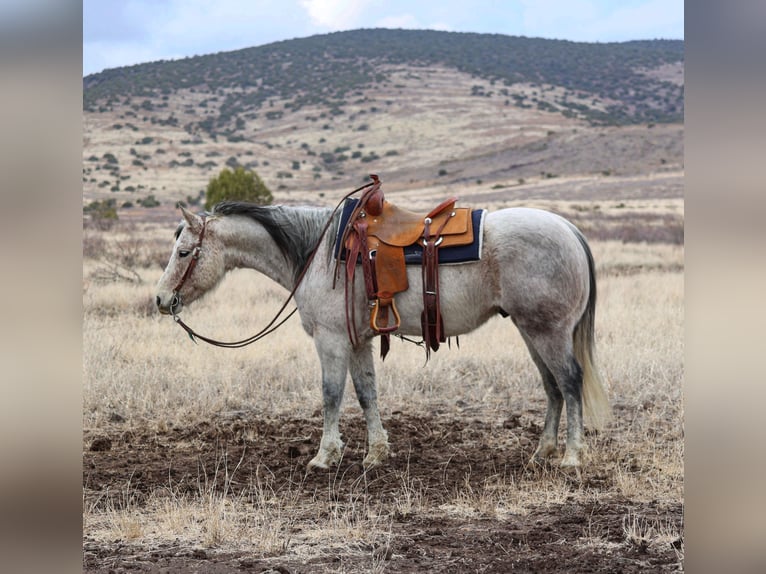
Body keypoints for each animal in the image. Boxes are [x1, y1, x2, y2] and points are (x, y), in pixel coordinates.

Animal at [156, 196, 612, 470]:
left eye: (183, 252)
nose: (161, 300)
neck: (320, 252)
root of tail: (569, 230)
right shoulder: (358, 340)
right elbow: (366, 393)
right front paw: (376, 453)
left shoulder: (331, 340)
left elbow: (331, 394)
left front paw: (324, 456)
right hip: (531, 331)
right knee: (552, 386)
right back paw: (542, 452)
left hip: (548, 332)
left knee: (570, 381)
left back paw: (571, 456)